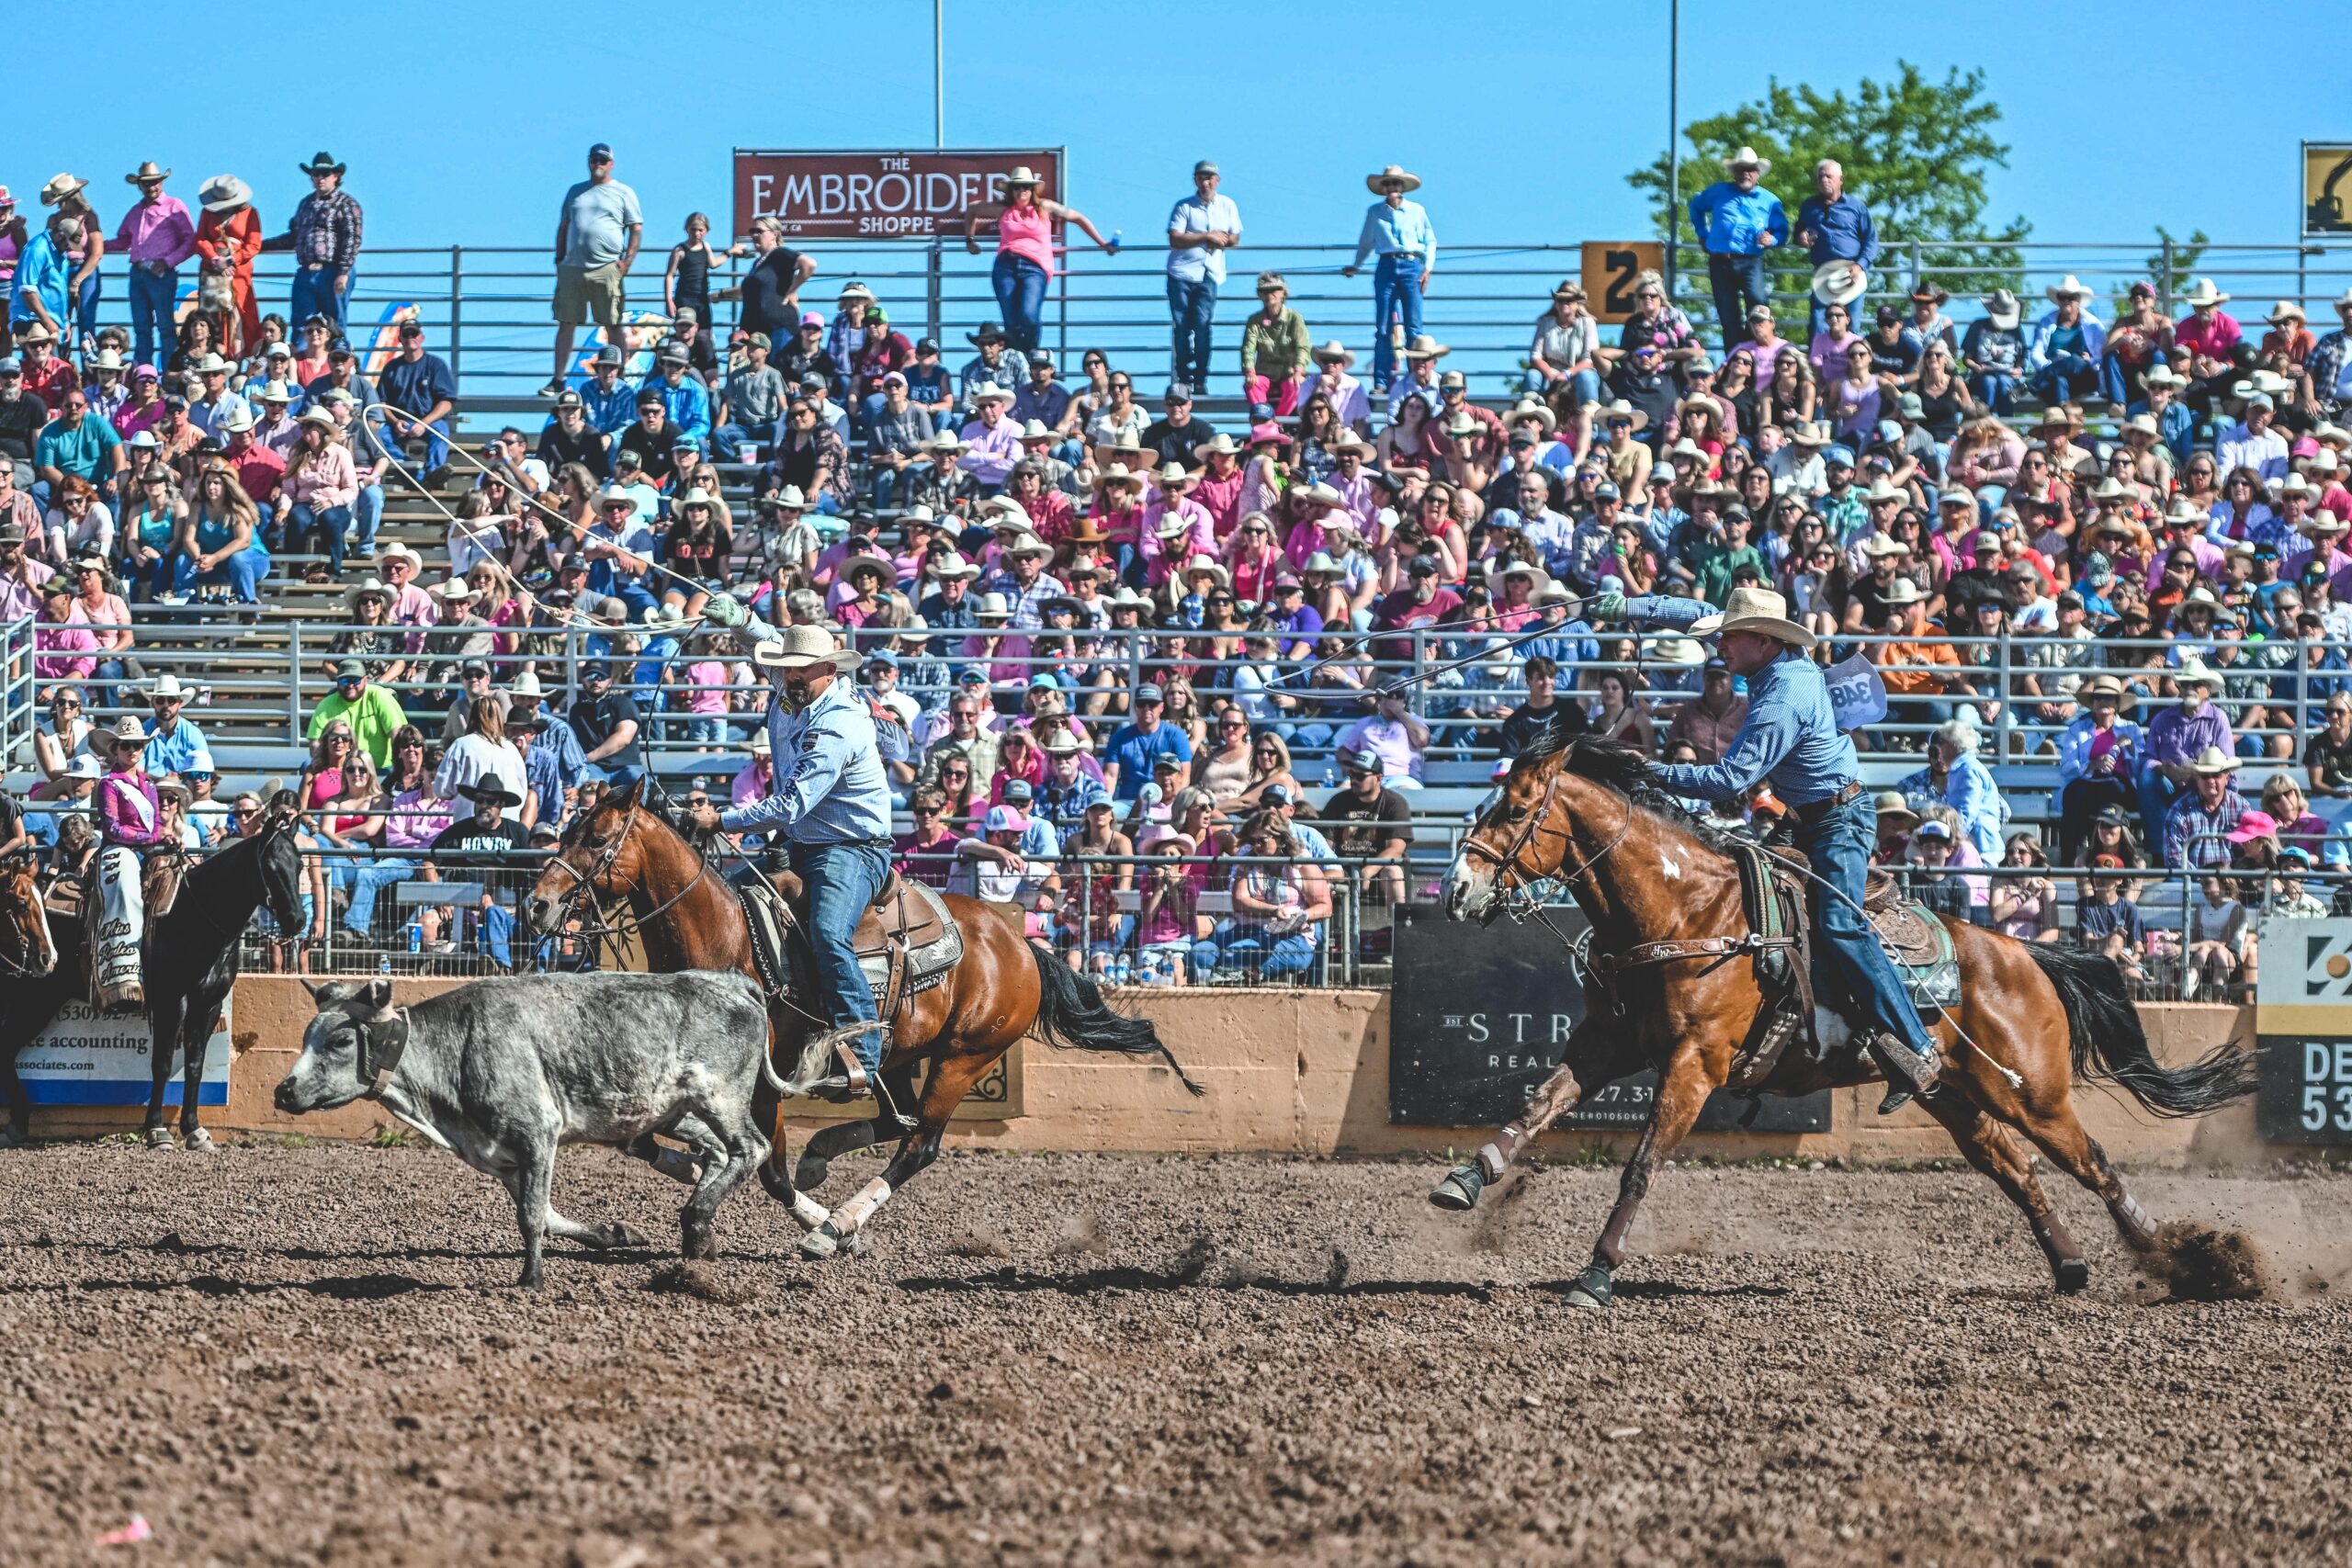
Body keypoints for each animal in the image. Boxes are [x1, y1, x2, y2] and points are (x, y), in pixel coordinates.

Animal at [0, 799, 308, 1152]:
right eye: (270, 866)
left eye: (299, 865)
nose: (297, 920)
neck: (193, 915)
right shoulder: (172, 1002)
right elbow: (161, 1064)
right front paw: (157, 1129)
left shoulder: (209, 1004)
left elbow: (194, 1065)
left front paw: (194, 1129)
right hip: (31, 997)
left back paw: (18, 1123)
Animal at [524, 784, 1204, 1259]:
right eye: (568, 828)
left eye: (597, 838)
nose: (537, 904)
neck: (730, 943)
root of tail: (1019, 944)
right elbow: (644, 1140)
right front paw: (704, 1175)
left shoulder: (766, 1084)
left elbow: (768, 1168)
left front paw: (761, 1224)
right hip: (901, 1055)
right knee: (892, 1118)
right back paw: (824, 1159)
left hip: (964, 1057)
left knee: (918, 1143)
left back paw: (836, 1223)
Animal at [1420, 742, 2248, 1306]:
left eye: (1514, 811)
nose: (1456, 888)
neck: (1690, 912)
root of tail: (2027, 954)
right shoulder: (1608, 1042)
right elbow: (1540, 1101)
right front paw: (1466, 1178)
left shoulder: (1695, 1062)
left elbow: (1642, 1163)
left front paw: (1595, 1273)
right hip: (1956, 1097)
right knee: (2015, 1169)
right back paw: (2073, 1266)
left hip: (2033, 1094)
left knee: (2094, 1163)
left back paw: (2183, 1261)